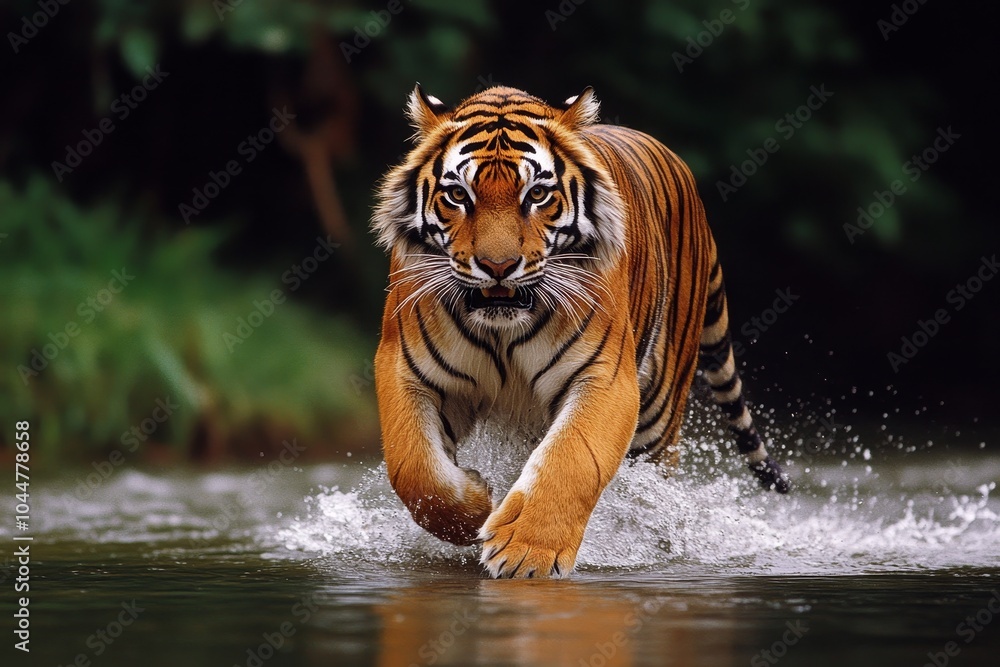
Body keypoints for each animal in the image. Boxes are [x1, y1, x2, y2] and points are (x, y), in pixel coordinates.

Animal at [372, 85, 789, 579]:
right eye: (458, 195)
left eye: (536, 194)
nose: (497, 266)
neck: (502, 328)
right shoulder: (406, 369)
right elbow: (414, 469)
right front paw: (477, 504)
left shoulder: (604, 378)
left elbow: (572, 460)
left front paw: (526, 552)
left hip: (659, 415)